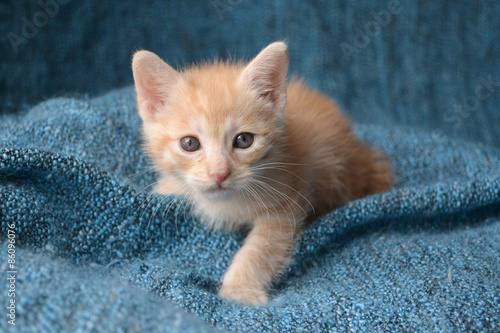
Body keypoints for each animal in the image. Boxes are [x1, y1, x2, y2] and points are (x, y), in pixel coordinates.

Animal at [133, 40, 394, 304]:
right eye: (189, 144)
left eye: (244, 140)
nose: (220, 174)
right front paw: (167, 187)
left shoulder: (286, 202)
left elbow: (260, 249)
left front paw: (240, 290)